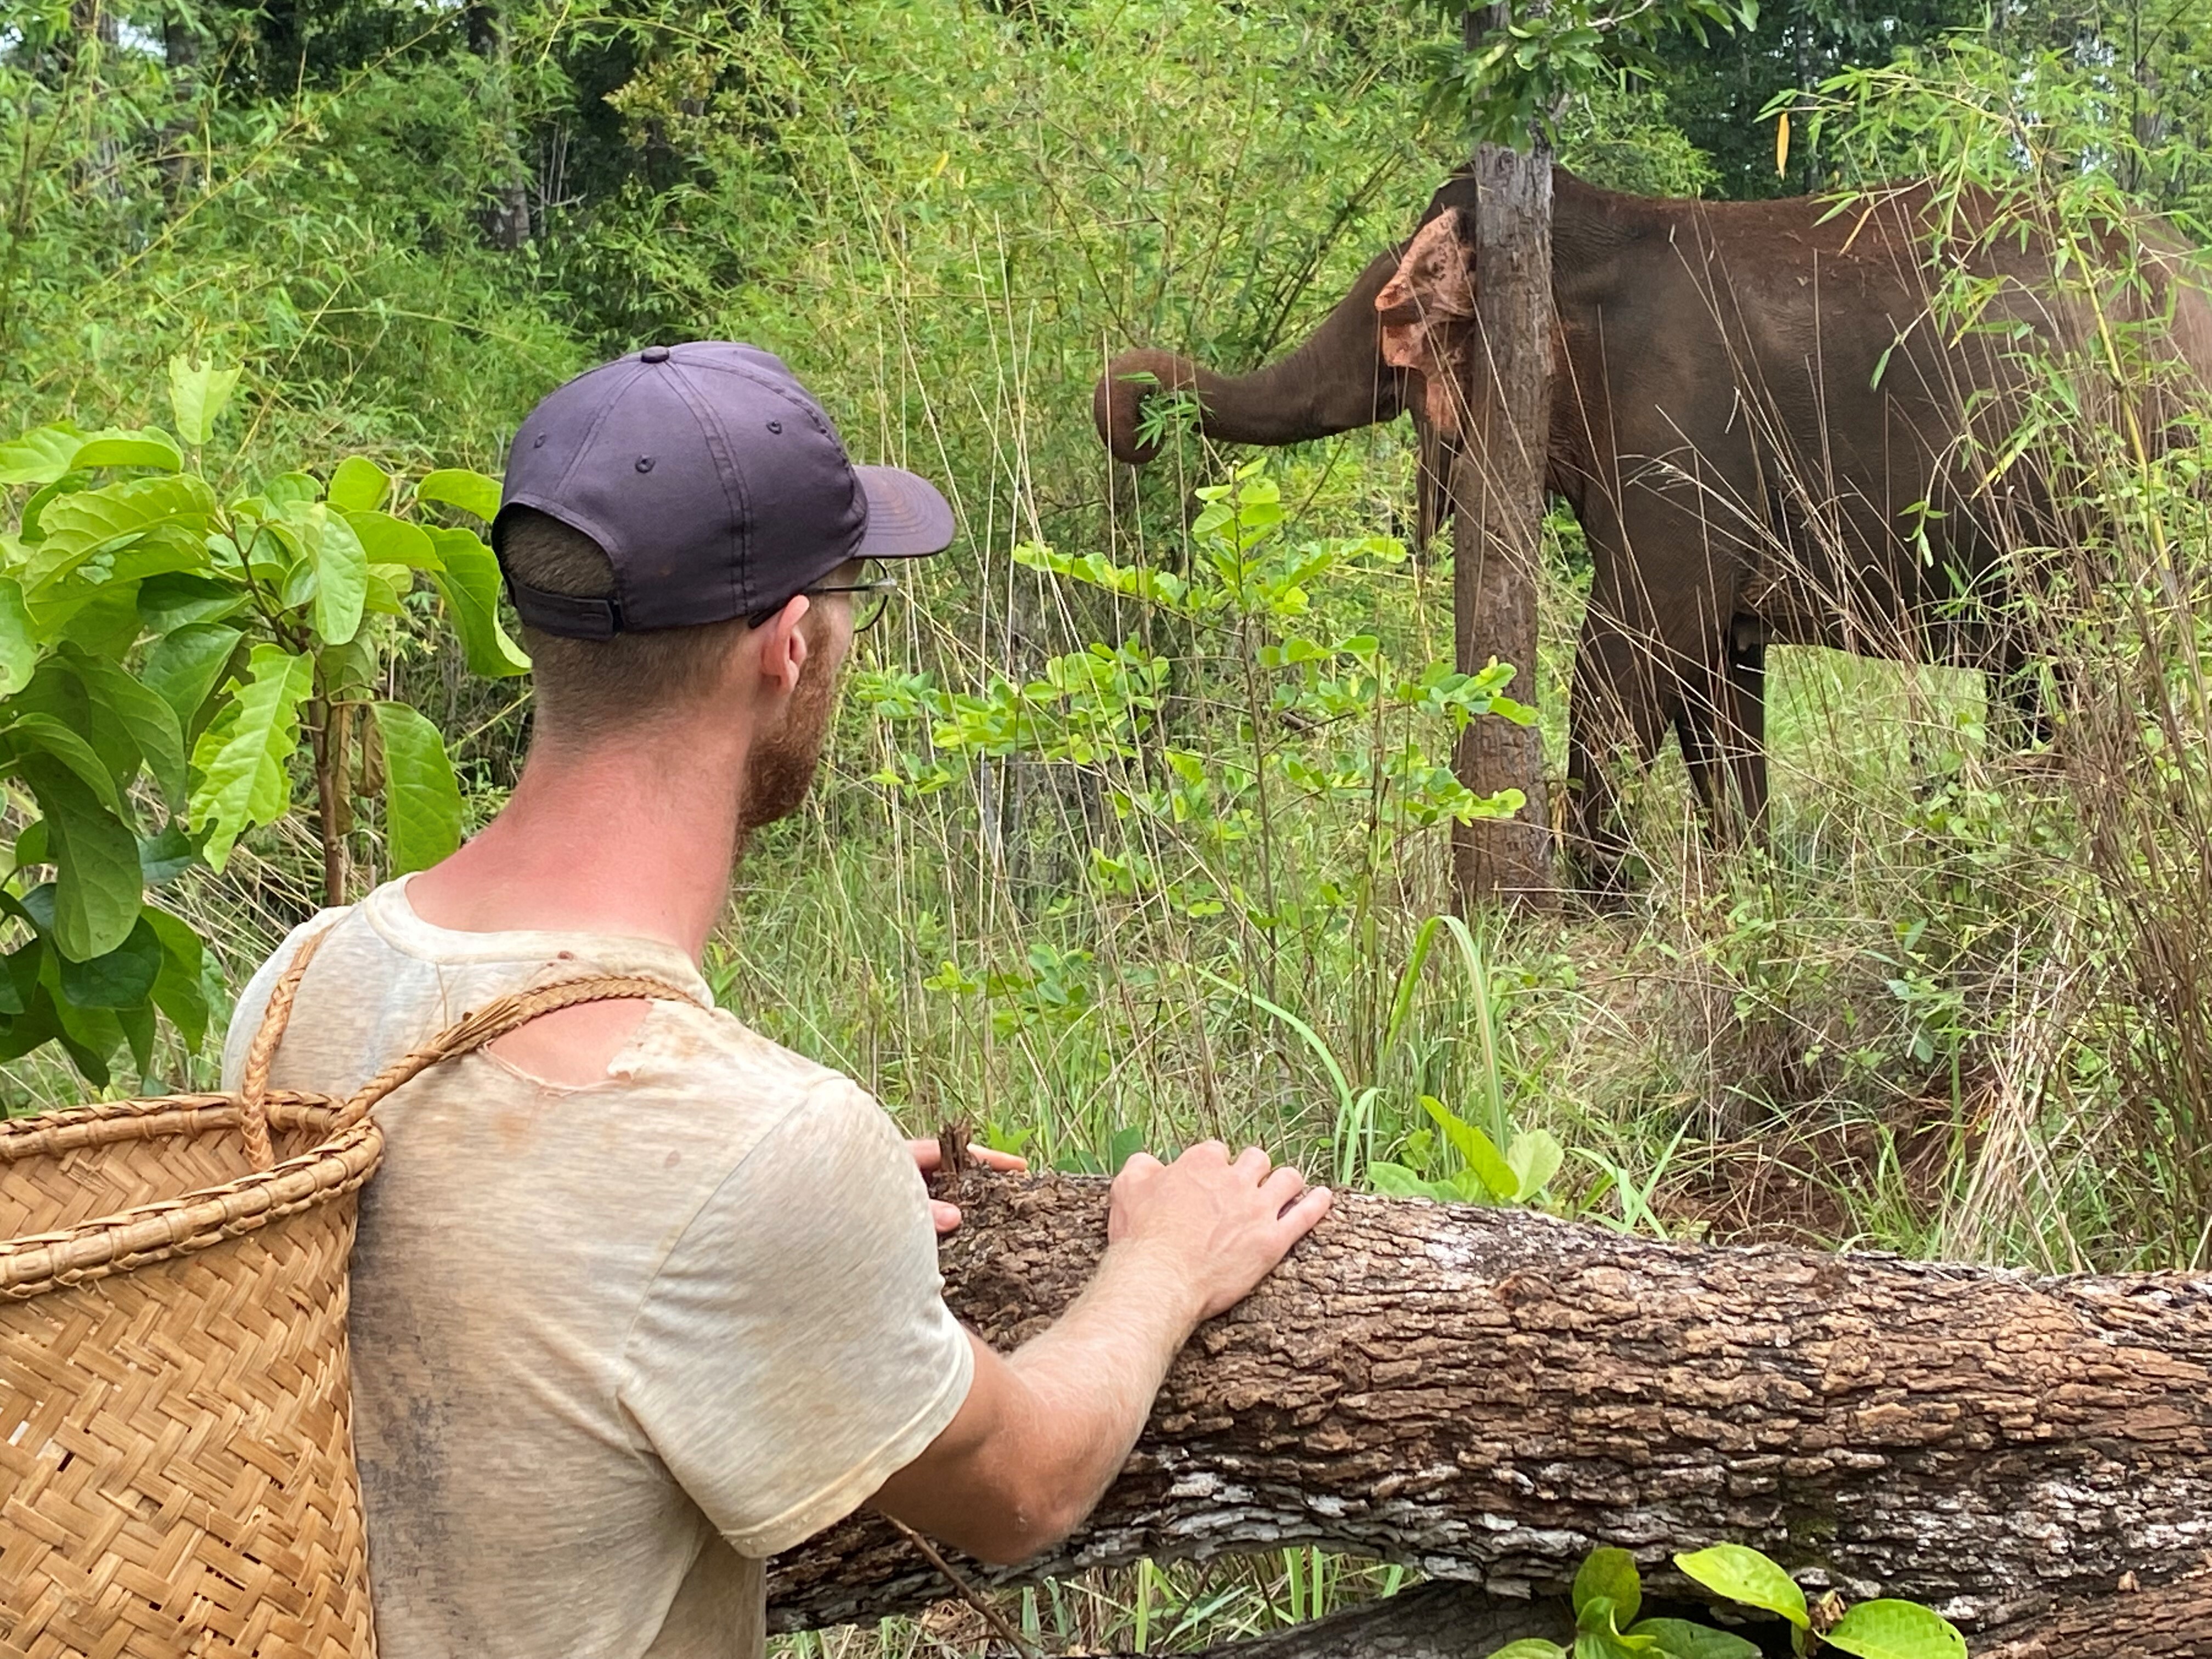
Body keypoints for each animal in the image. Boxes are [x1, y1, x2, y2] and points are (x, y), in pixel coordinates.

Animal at [1093, 167, 2212, 888]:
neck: (1594, 226)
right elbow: (1716, 682)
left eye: (1400, 317)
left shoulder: (1682, 438)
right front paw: (1743, 893)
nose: (1131, 407)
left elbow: (1633, 651)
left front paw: (1599, 904)